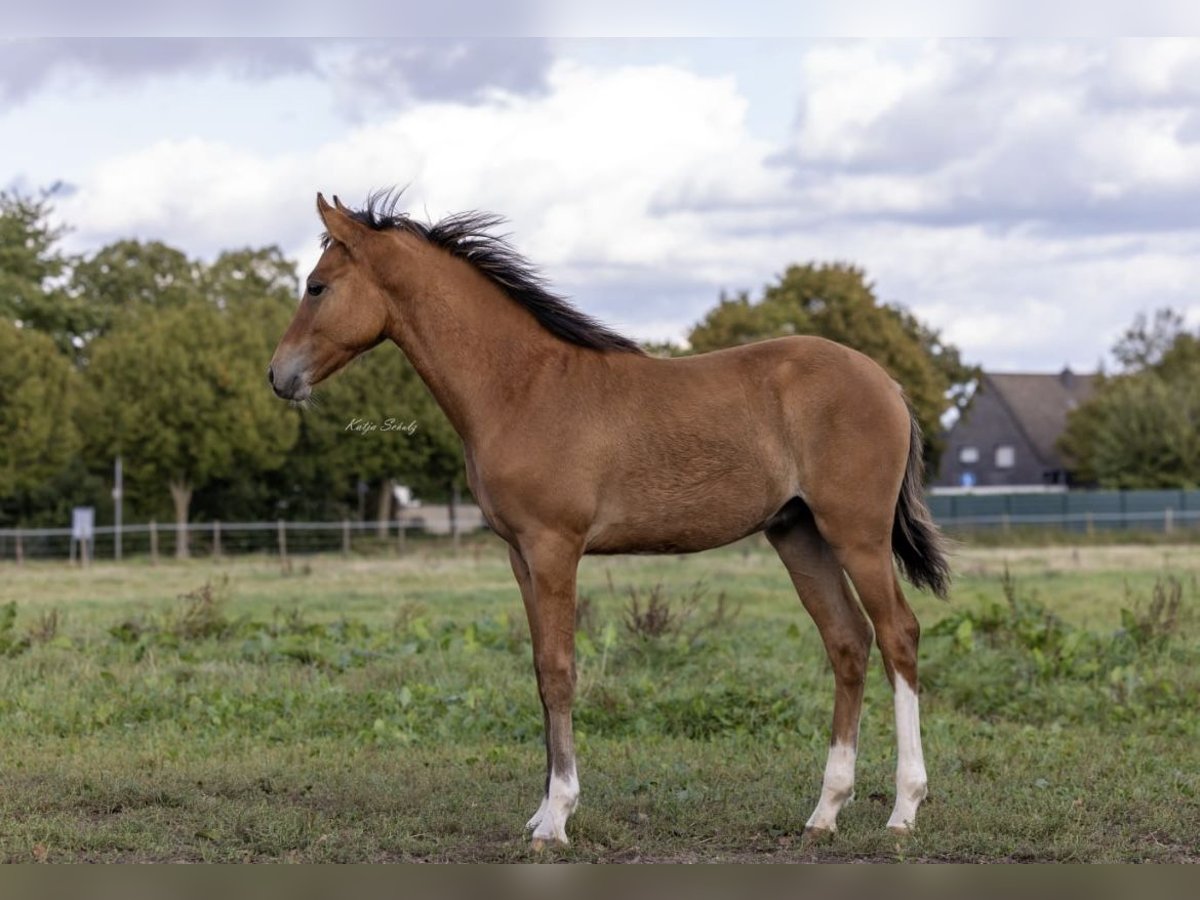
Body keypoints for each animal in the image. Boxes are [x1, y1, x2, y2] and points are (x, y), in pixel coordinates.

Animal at [267, 192, 950, 854]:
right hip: (798, 533)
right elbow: (539, 671)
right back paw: (824, 813)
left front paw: (556, 820)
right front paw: (542, 809)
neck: (521, 385)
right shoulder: (520, 555)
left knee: (899, 635)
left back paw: (903, 810)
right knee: (848, 641)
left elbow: (559, 671)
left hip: (857, 535)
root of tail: (887, 382)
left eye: (317, 286)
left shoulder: (554, 548)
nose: (279, 376)